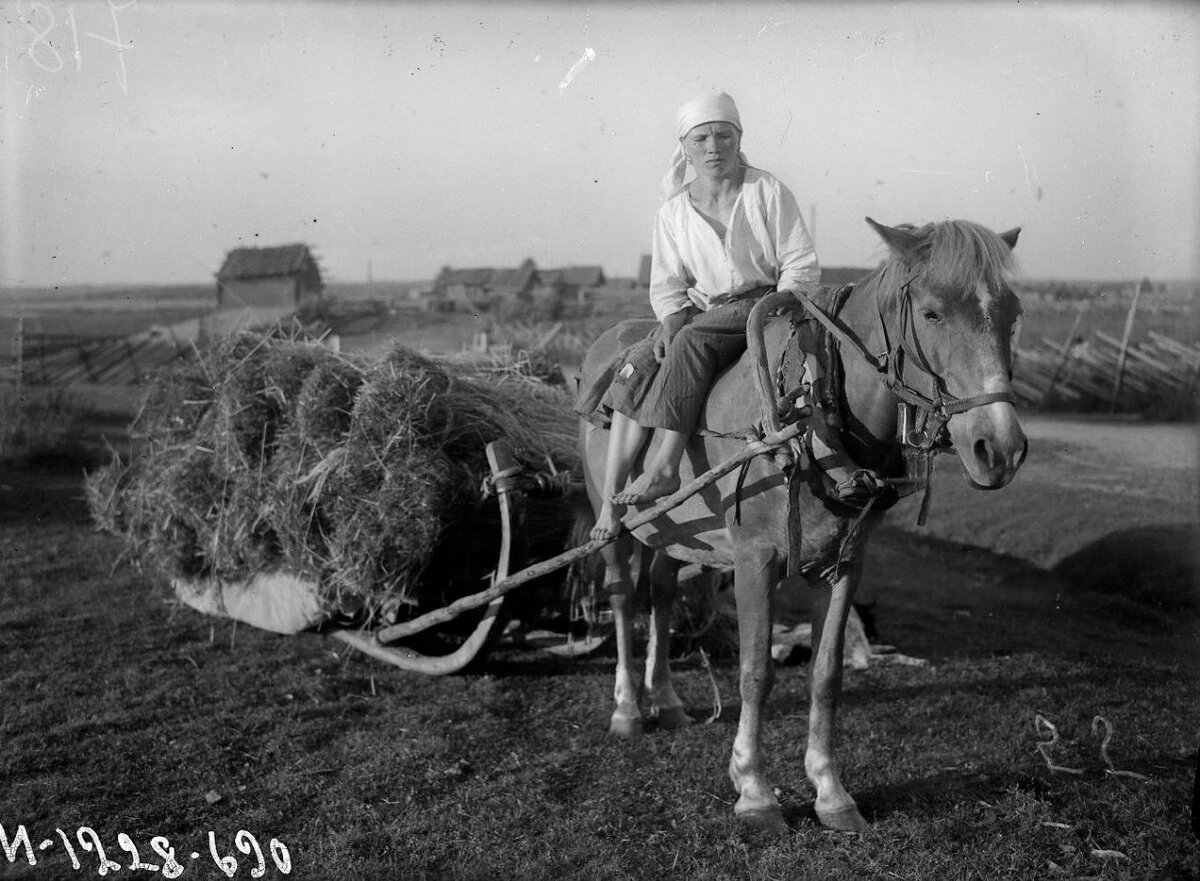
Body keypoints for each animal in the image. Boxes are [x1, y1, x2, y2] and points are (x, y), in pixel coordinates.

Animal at [576, 216, 1027, 835]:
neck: (808, 412)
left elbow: (825, 674)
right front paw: (753, 788)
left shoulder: (845, 563)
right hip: (616, 521)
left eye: (1013, 313)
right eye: (933, 313)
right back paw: (626, 708)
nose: (999, 448)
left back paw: (664, 701)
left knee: (662, 595)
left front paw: (830, 791)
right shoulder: (754, 562)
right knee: (623, 596)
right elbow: (755, 673)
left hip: (675, 536)